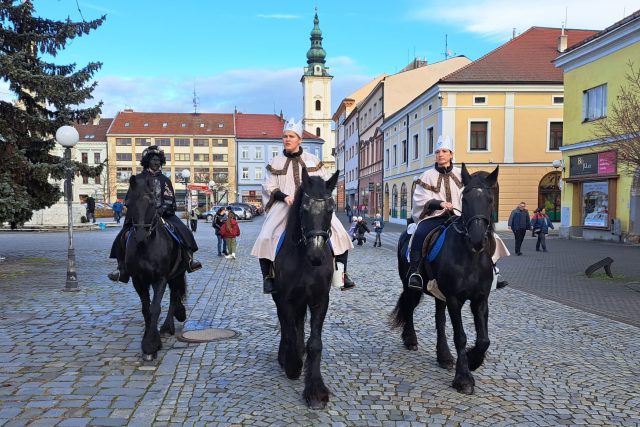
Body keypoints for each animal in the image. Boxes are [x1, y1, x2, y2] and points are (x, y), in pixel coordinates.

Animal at [124, 173, 186, 362]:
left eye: (152, 204)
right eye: (128, 204)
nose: (140, 235)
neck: (147, 246)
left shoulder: (161, 278)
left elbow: (155, 308)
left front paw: (151, 345)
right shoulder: (138, 281)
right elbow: (146, 309)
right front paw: (148, 341)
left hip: (176, 275)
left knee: (174, 296)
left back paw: (167, 326)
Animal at [272, 169, 340, 410]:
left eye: (330, 209)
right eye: (304, 209)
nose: (317, 255)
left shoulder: (320, 299)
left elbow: (315, 343)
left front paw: (316, 390)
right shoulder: (285, 299)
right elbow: (290, 331)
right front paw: (293, 365)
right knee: (287, 327)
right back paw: (286, 356)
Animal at [390, 164, 500, 394]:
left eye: (490, 199)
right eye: (465, 198)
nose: (478, 239)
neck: (470, 256)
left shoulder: (480, 299)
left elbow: (484, 339)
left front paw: (473, 360)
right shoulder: (454, 299)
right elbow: (461, 336)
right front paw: (464, 378)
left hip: (439, 294)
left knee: (439, 320)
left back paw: (444, 356)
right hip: (412, 286)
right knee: (409, 307)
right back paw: (410, 339)